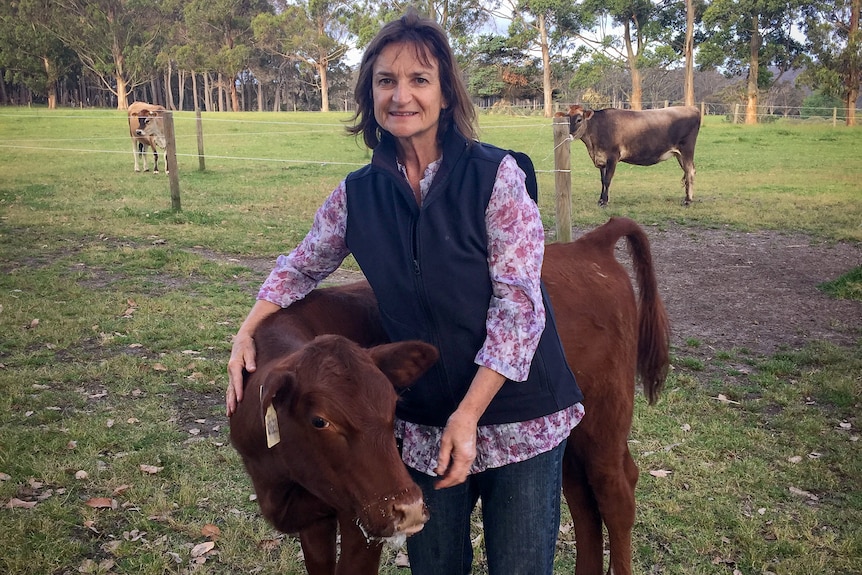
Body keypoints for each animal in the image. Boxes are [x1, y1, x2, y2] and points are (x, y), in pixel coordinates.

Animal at [229, 281, 439, 575]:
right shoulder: (313, 519)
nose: (409, 510)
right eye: (320, 421)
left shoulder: (359, 518)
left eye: (394, 406)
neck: (279, 480)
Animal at [557, 104, 701, 206]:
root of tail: (692, 108)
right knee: (689, 171)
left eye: (579, 119)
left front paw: (605, 201)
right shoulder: (601, 159)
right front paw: (600, 199)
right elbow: (602, 180)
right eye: (566, 118)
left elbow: (608, 180)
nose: (568, 134)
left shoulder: (613, 157)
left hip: (687, 150)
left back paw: (688, 200)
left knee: (690, 171)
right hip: (680, 155)